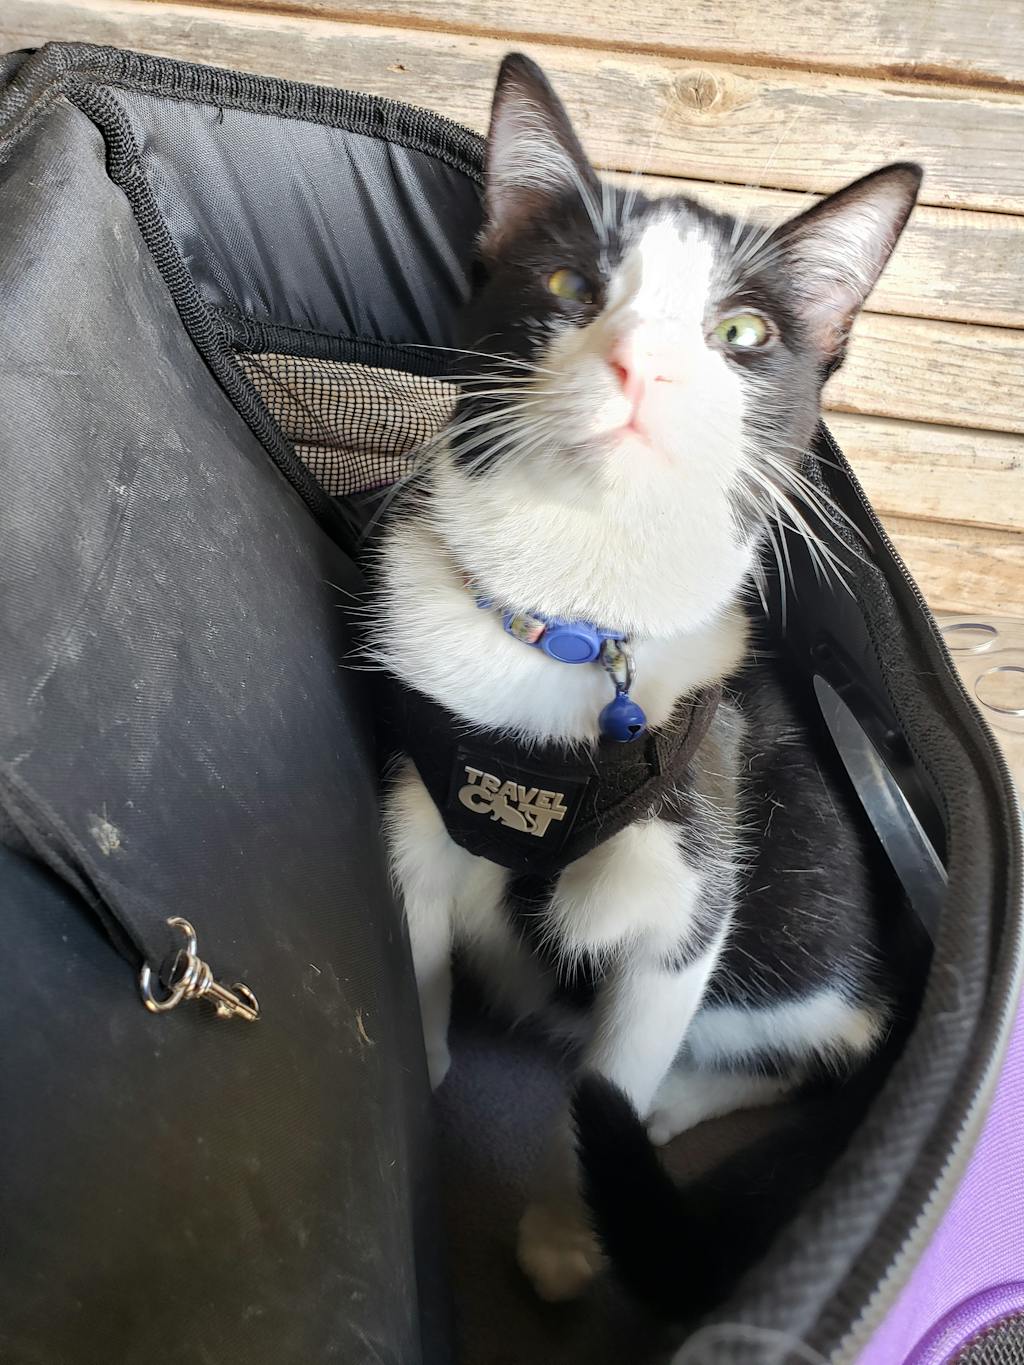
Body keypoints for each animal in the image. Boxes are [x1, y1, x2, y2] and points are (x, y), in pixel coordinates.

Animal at [371, 53, 922, 1304]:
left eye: (740, 329)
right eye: (570, 282)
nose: (643, 363)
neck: (573, 624)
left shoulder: (691, 860)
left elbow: (617, 1059)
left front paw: (575, 1228)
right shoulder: (416, 799)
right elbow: (414, 961)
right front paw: (417, 1084)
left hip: (801, 866)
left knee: (839, 1035)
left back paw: (681, 1103)